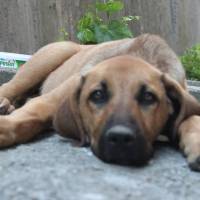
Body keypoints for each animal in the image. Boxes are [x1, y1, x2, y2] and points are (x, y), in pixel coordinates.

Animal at [0, 34, 200, 170]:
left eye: (148, 97)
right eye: (97, 95)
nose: (121, 139)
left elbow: (192, 118)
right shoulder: (50, 100)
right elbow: (30, 115)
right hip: (48, 59)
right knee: (9, 86)